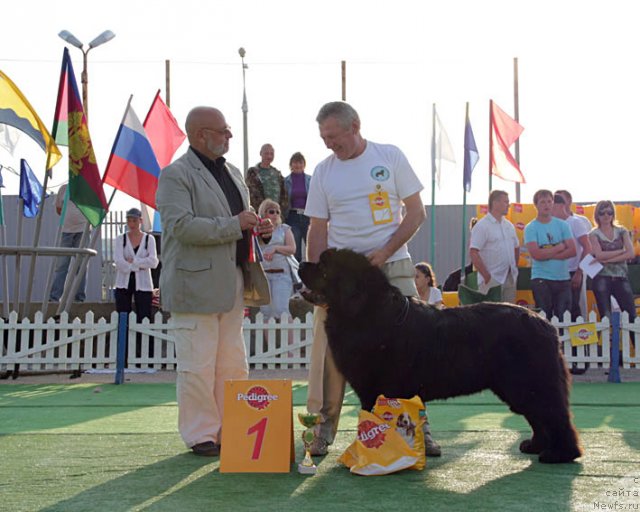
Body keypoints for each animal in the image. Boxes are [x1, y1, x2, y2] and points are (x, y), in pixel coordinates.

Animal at [298, 248, 584, 464]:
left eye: (323, 266)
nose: (301, 263)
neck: (364, 310)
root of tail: (545, 323)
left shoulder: (376, 387)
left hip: (529, 382)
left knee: (555, 414)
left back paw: (560, 454)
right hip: (519, 388)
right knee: (540, 416)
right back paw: (536, 446)